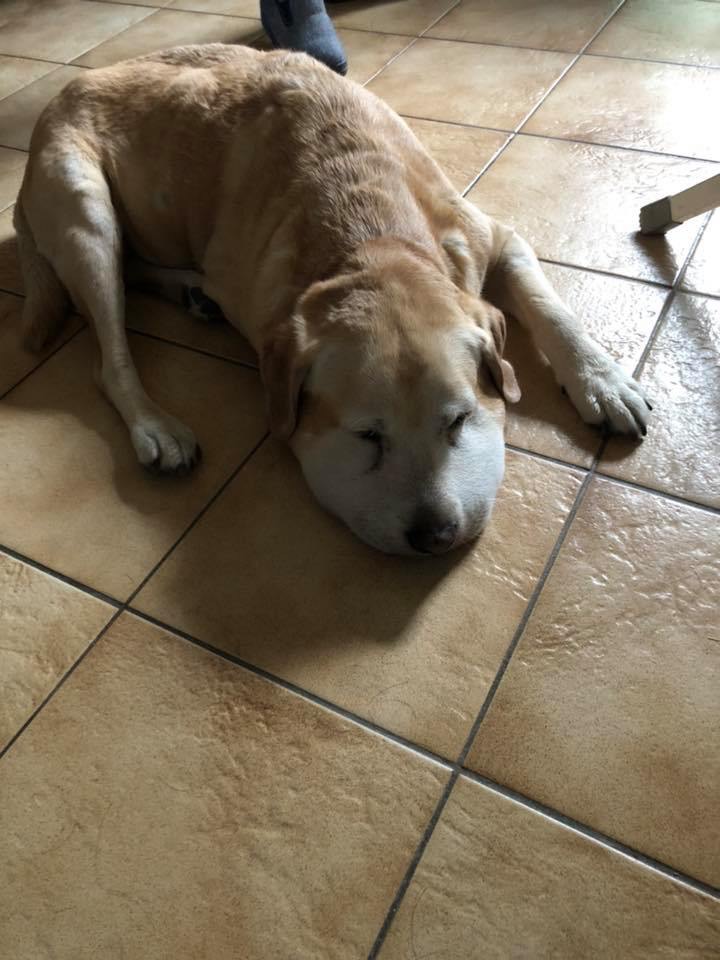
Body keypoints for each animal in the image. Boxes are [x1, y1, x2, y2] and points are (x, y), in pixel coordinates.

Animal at [15, 44, 651, 556]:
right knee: (110, 350)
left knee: (132, 269)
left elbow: (553, 310)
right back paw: (156, 424)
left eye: (459, 421)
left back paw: (189, 290)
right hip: (83, 206)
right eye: (368, 436)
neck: (371, 235)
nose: (436, 535)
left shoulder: (492, 238)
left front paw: (602, 380)